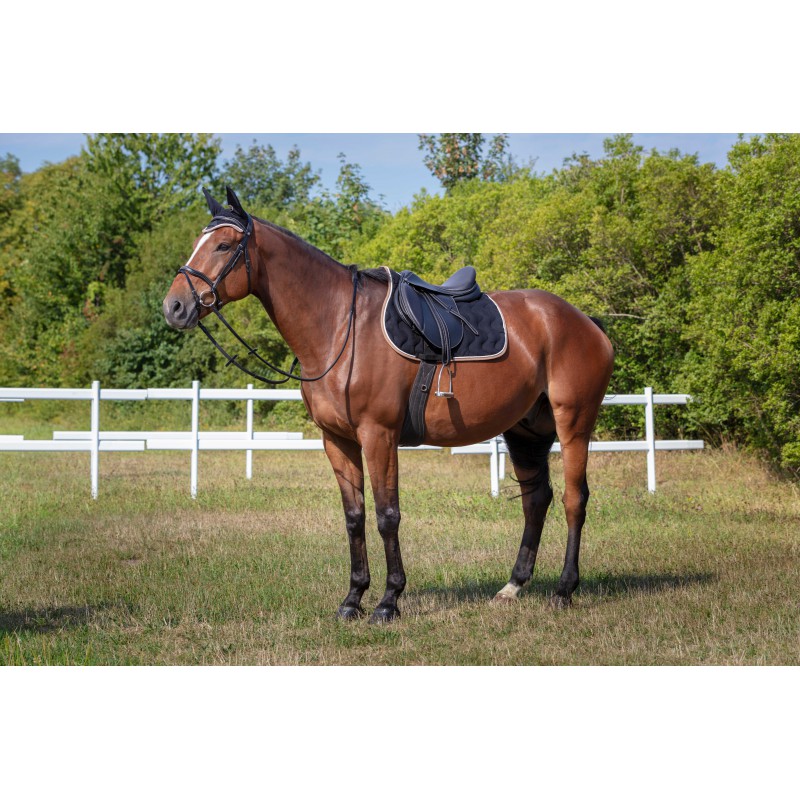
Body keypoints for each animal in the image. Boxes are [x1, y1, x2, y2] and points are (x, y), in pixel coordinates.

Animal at [163, 187, 614, 623]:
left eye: (223, 245)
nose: (174, 307)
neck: (341, 328)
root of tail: (585, 322)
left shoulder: (378, 435)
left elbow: (387, 515)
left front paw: (388, 601)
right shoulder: (337, 441)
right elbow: (355, 517)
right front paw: (352, 599)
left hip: (573, 424)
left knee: (575, 499)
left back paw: (564, 590)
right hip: (526, 431)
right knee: (536, 500)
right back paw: (512, 587)